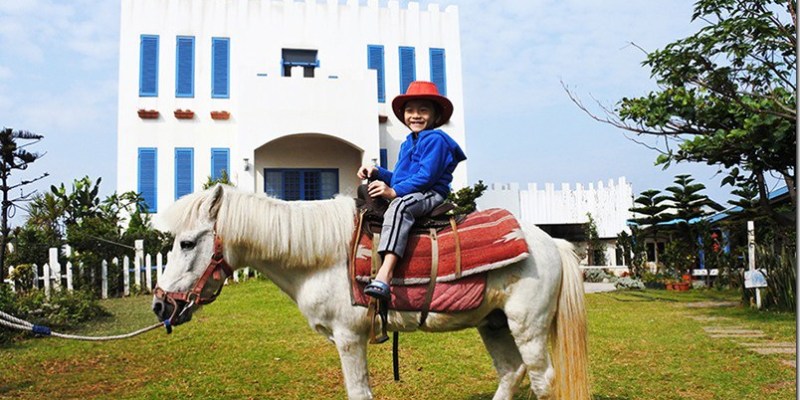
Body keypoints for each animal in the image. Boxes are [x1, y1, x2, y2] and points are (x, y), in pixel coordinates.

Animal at [152, 186, 588, 398]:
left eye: (187, 243)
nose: (160, 304)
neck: (322, 255)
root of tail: (551, 243)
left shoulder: (349, 336)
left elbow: (359, 392)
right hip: (493, 323)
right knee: (510, 373)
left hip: (527, 325)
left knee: (542, 379)